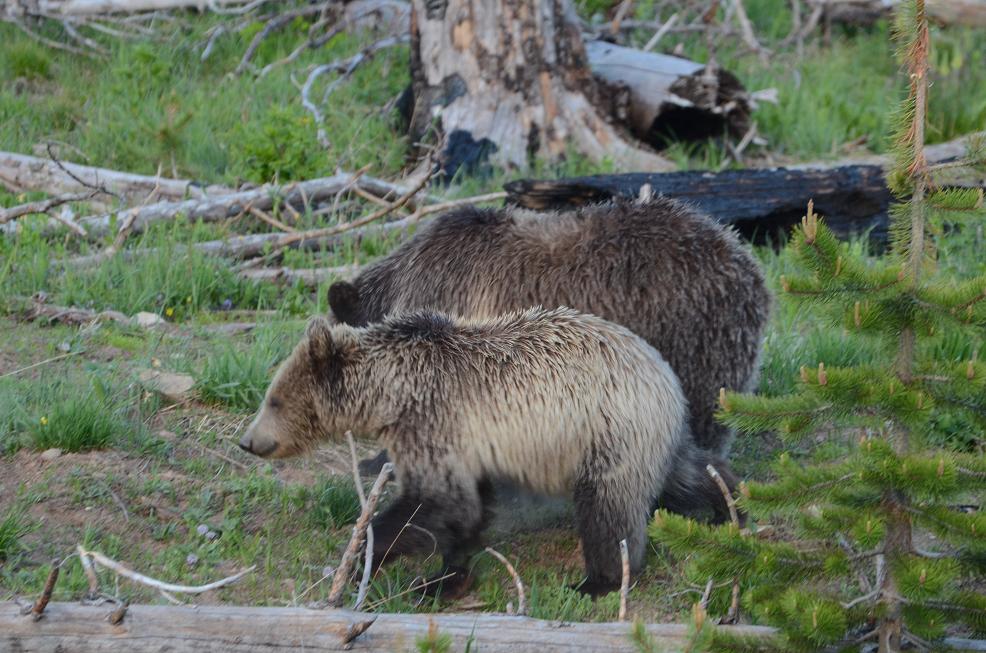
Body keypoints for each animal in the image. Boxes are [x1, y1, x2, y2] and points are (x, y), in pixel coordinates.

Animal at [236, 306, 732, 596]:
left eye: (274, 399)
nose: (249, 441)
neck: (391, 391)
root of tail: (663, 373)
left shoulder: (432, 421)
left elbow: (436, 503)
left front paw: (367, 557)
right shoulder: (464, 442)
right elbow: (466, 510)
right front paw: (448, 574)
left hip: (607, 430)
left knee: (608, 509)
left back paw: (597, 581)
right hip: (646, 436)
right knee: (685, 472)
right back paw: (728, 505)